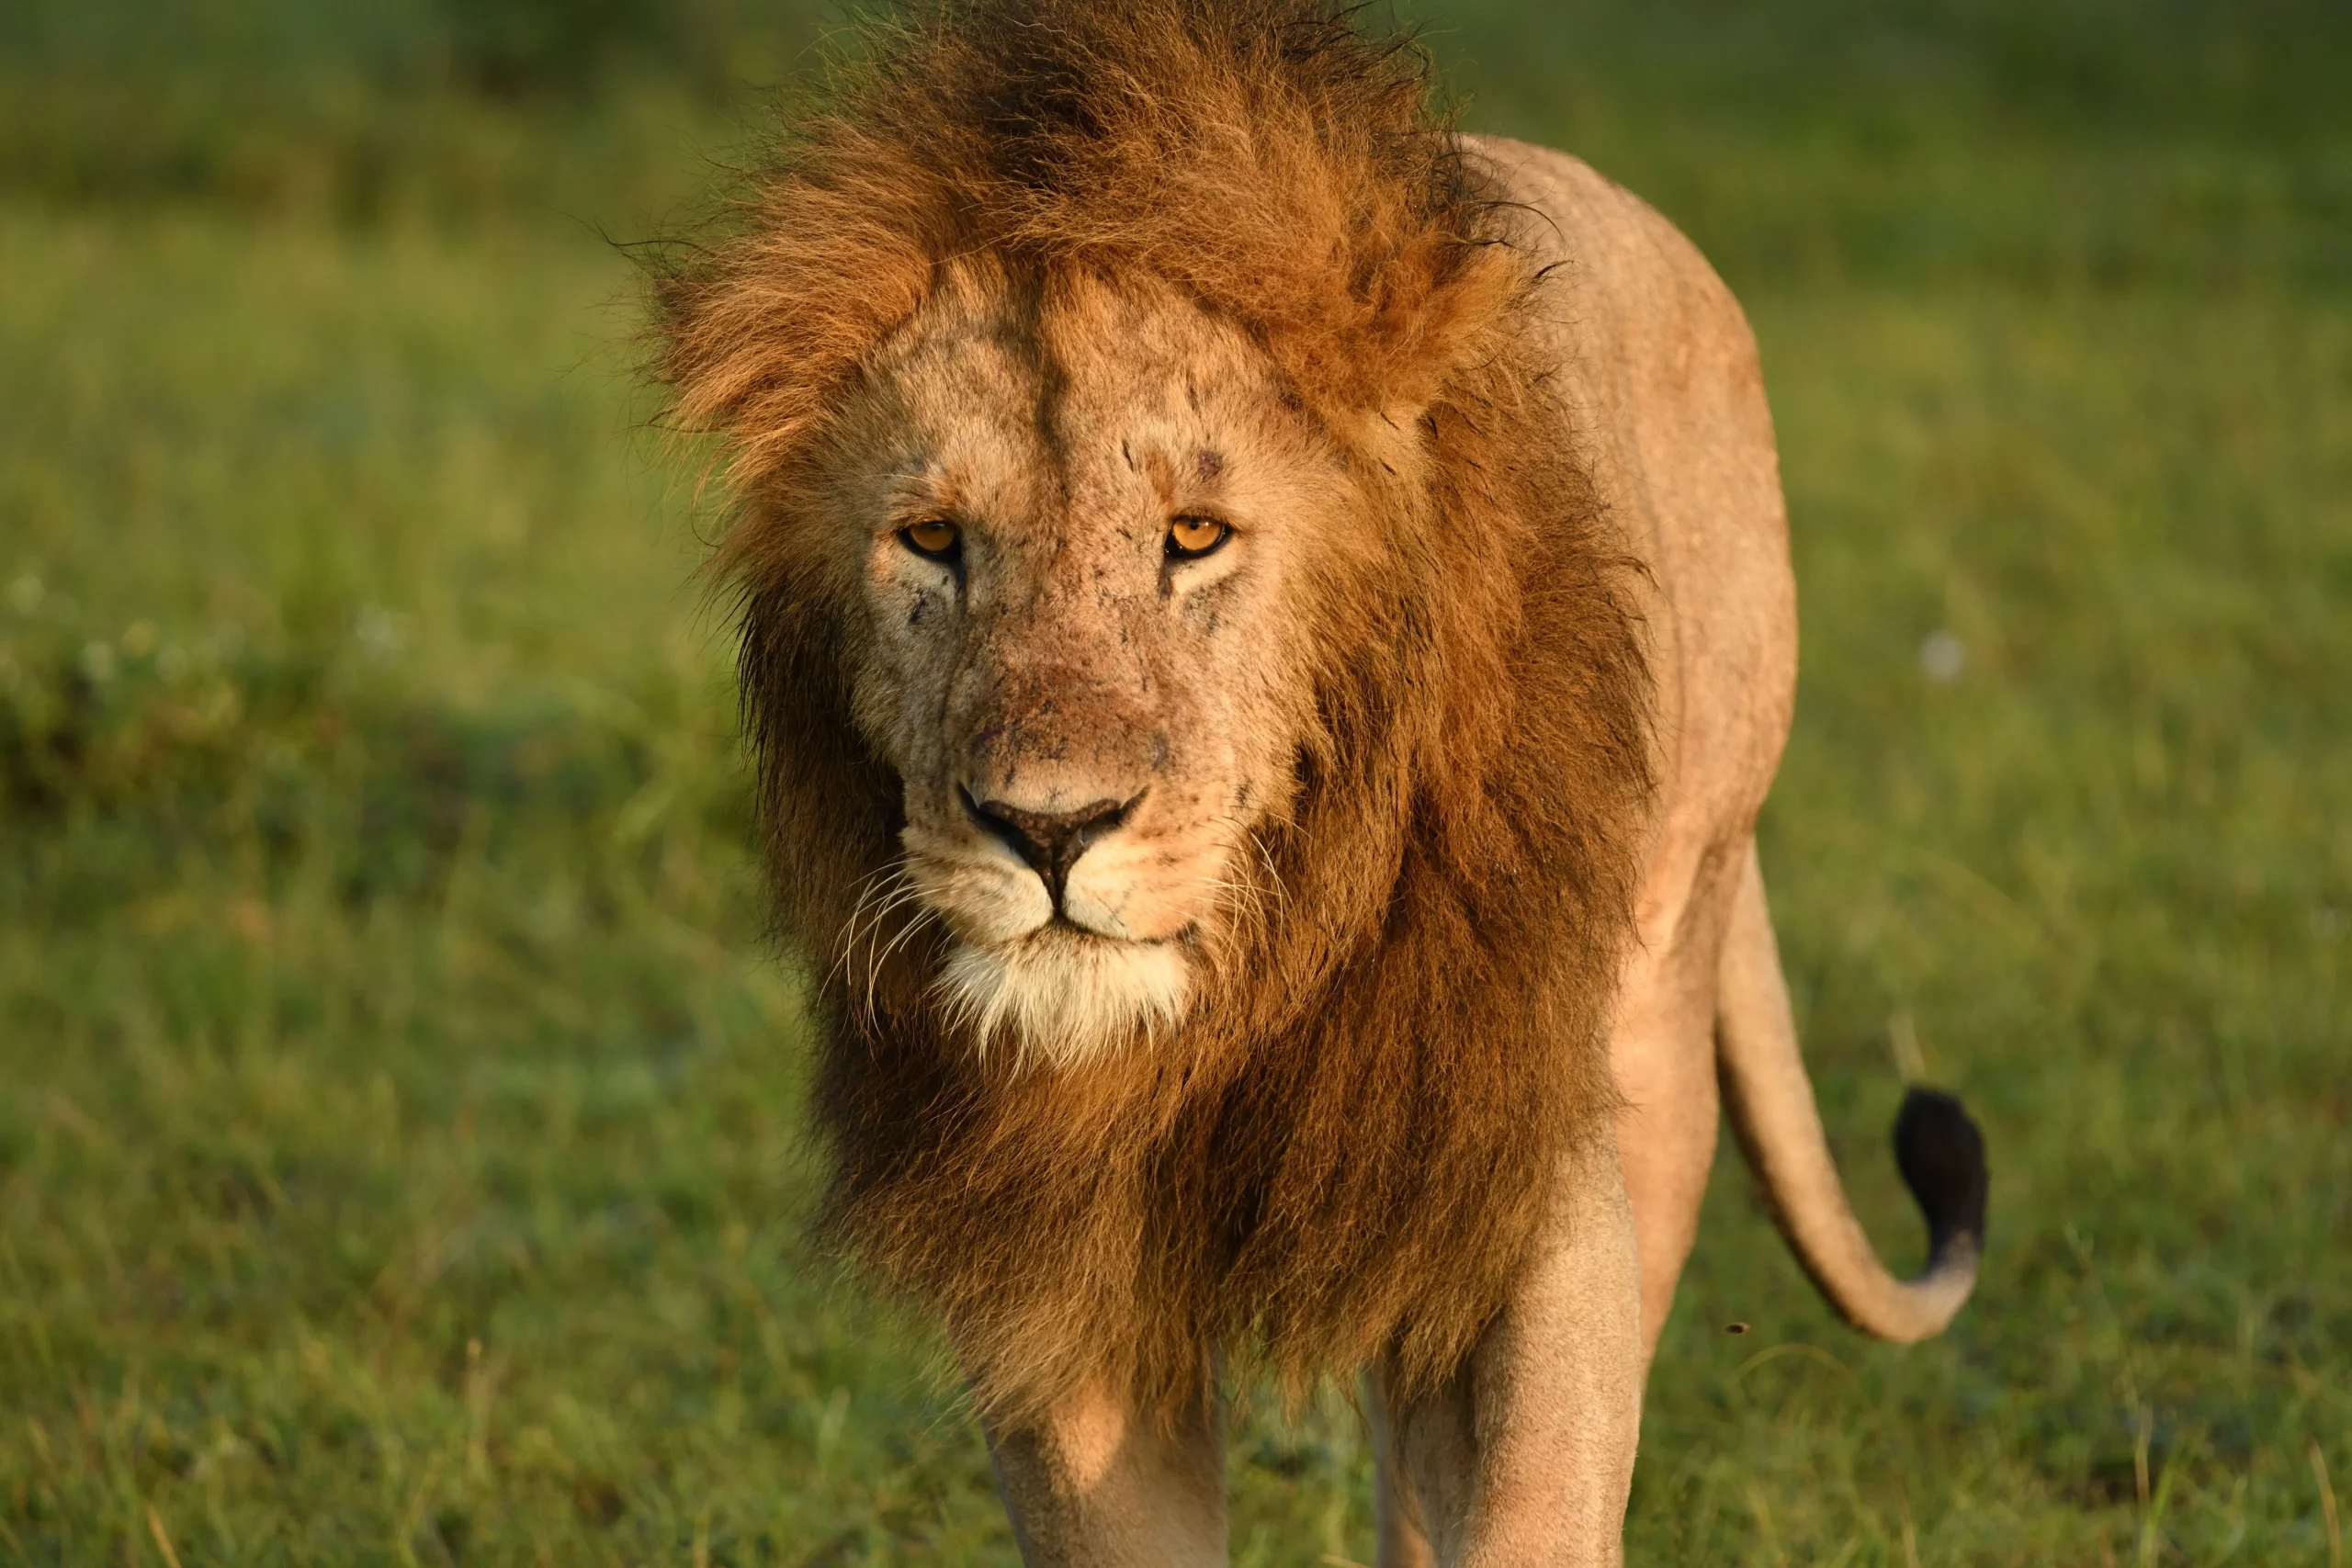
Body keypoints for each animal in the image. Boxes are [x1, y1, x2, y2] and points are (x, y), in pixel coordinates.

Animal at [658, 3, 1984, 1561]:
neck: (1256, 972)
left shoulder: (1517, 1138)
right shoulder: (1057, 1264)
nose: (1050, 826)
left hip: (1670, 946)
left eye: (1195, 534)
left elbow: (1538, 1498)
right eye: (930, 540)